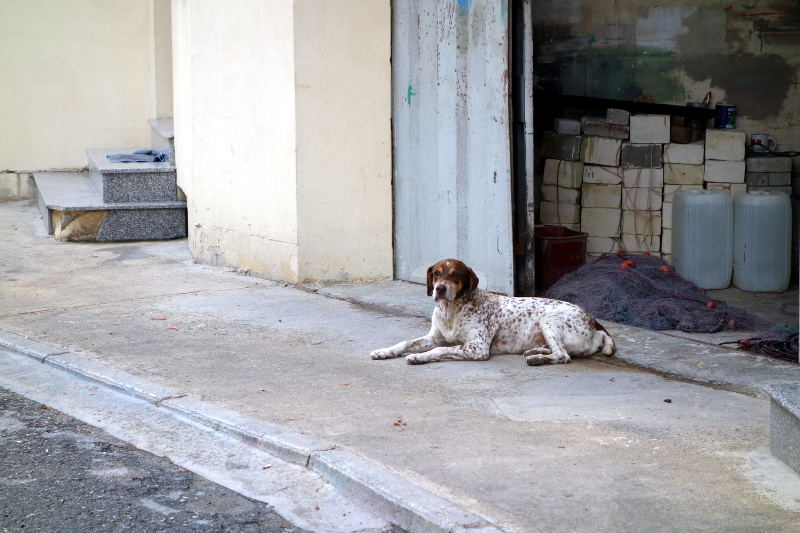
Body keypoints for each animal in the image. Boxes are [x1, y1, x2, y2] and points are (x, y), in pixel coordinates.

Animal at [372, 258, 616, 366]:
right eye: (437, 274)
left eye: (455, 275)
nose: (440, 289)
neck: (452, 311)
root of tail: (596, 323)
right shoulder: (434, 337)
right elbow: (405, 343)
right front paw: (385, 351)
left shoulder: (477, 348)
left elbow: (439, 350)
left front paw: (420, 357)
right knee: (557, 351)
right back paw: (535, 352)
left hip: (550, 321)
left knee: (563, 356)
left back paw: (537, 359)